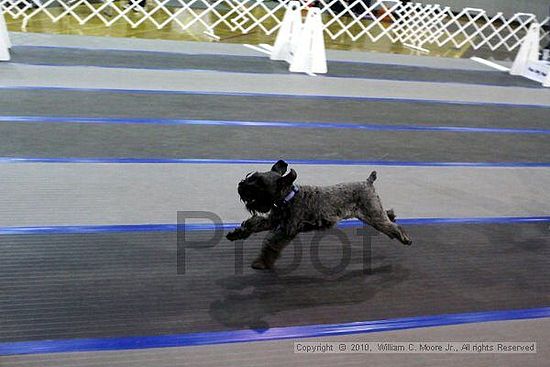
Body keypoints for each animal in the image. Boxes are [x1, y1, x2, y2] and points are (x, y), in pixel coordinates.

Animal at [226, 161, 412, 270]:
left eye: (260, 183)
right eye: (252, 177)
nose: (240, 186)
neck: (288, 197)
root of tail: (368, 182)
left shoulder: (286, 230)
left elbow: (271, 244)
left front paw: (262, 262)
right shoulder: (273, 221)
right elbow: (253, 224)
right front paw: (235, 234)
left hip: (374, 216)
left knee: (392, 227)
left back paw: (405, 238)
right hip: (371, 213)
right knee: (388, 215)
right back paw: (393, 216)